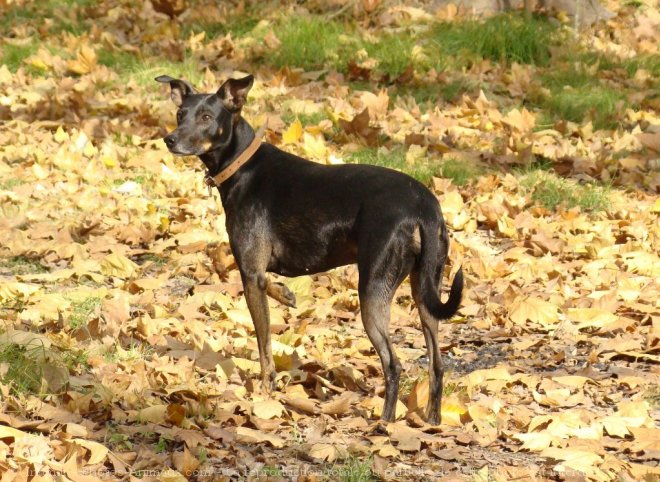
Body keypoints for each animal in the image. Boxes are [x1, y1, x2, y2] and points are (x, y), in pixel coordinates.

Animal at [157, 73, 462, 424]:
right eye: (180, 114)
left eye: (206, 117)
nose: (170, 139)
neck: (242, 164)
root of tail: (424, 206)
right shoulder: (258, 272)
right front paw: (287, 295)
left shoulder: (251, 273)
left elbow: (264, 346)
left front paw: (266, 393)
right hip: (425, 288)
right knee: (437, 364)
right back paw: (432, 422)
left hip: (373, 289)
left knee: (393, 363)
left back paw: (384, 424)